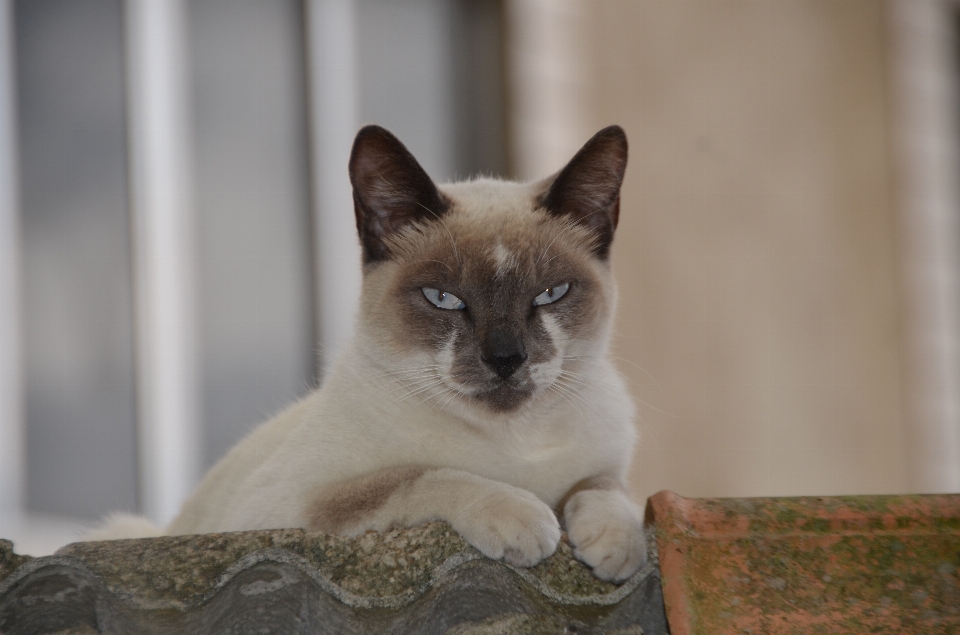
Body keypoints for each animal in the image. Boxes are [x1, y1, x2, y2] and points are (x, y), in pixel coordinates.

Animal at [92, 125, 644, 588]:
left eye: (551, 294)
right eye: (444, 299)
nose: (506, 358)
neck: (511, 443)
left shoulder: (606, 464)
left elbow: (606, 489)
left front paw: (617, 549)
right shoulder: (289, 511)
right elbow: (416, 477)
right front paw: (527, 520)